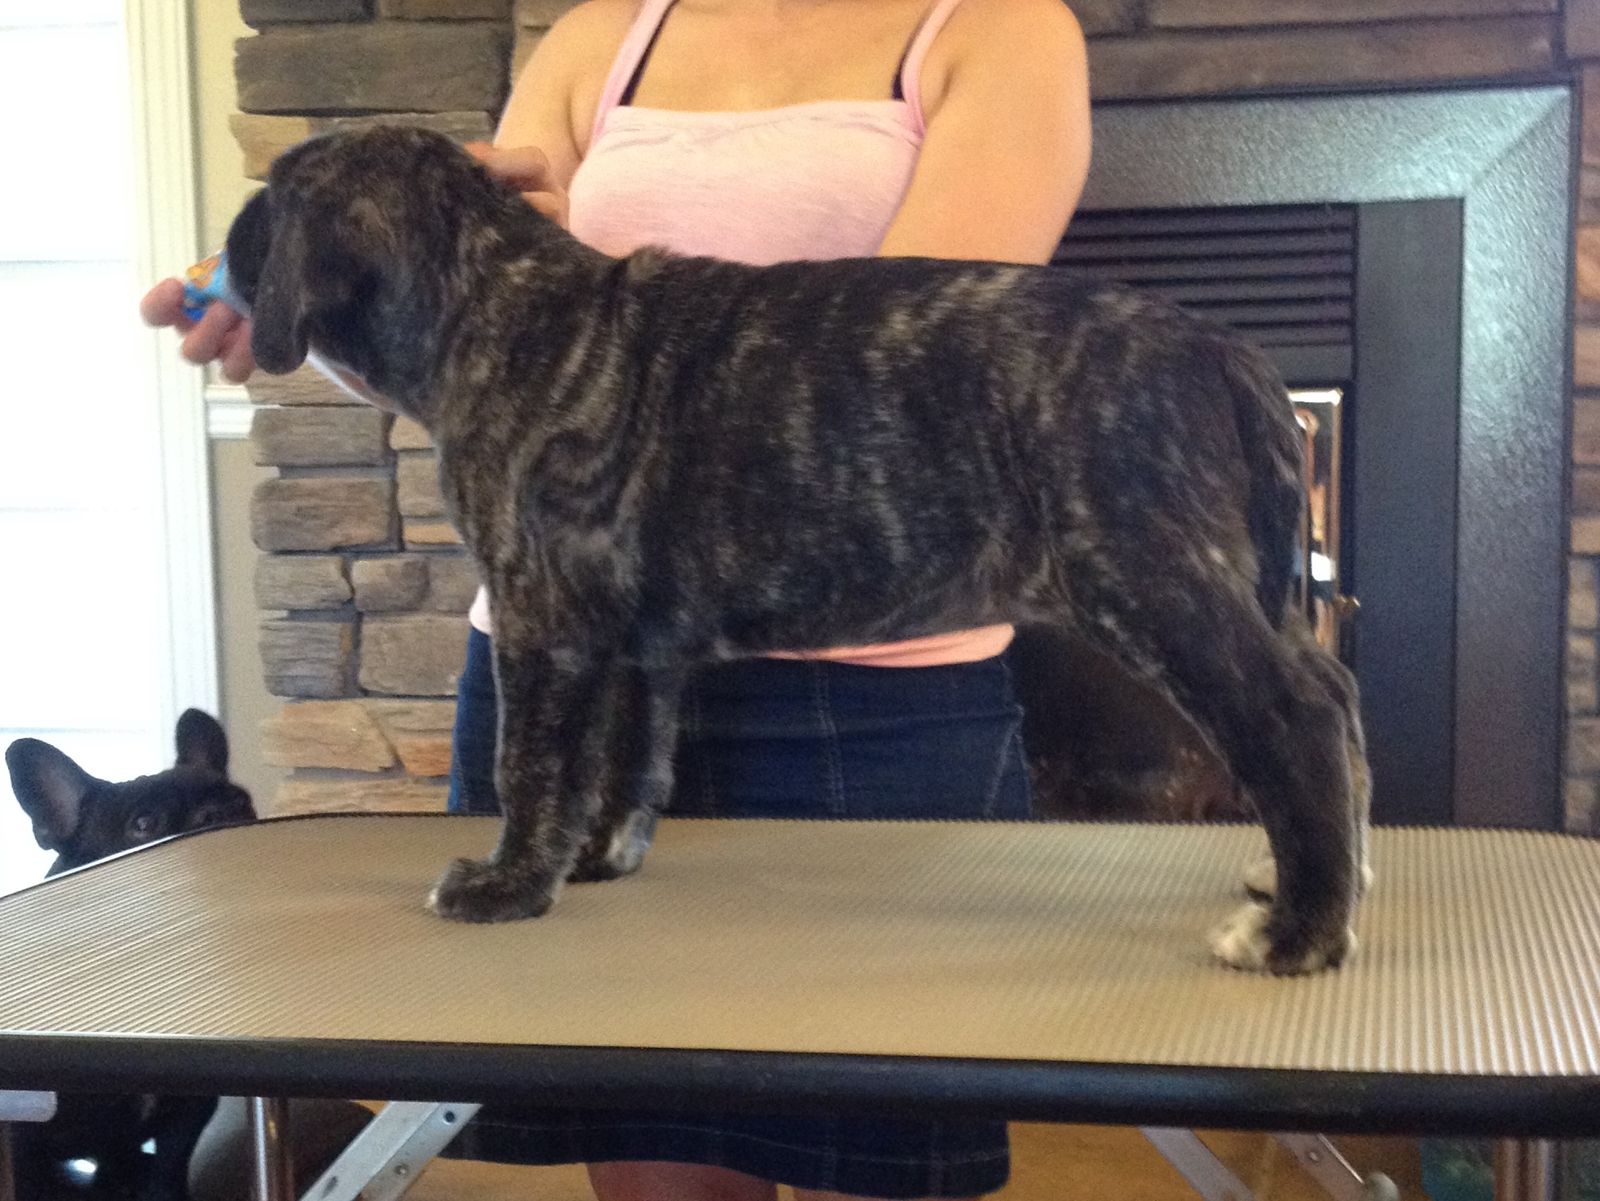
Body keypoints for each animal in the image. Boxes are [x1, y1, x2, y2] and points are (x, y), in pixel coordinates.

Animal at [224, 125, 1370, 975]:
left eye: (276, 199)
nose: (231, 241)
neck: (495, 300)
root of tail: (1220, 348)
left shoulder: (541, 621)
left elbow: (535, 763)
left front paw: (507, 884)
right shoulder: (632, 641)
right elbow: (624, 759)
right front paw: (595, 858)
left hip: (1148, 578)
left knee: (1292, 712)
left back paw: (1297, 931)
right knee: (1335, 687)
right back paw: (1332, 883)